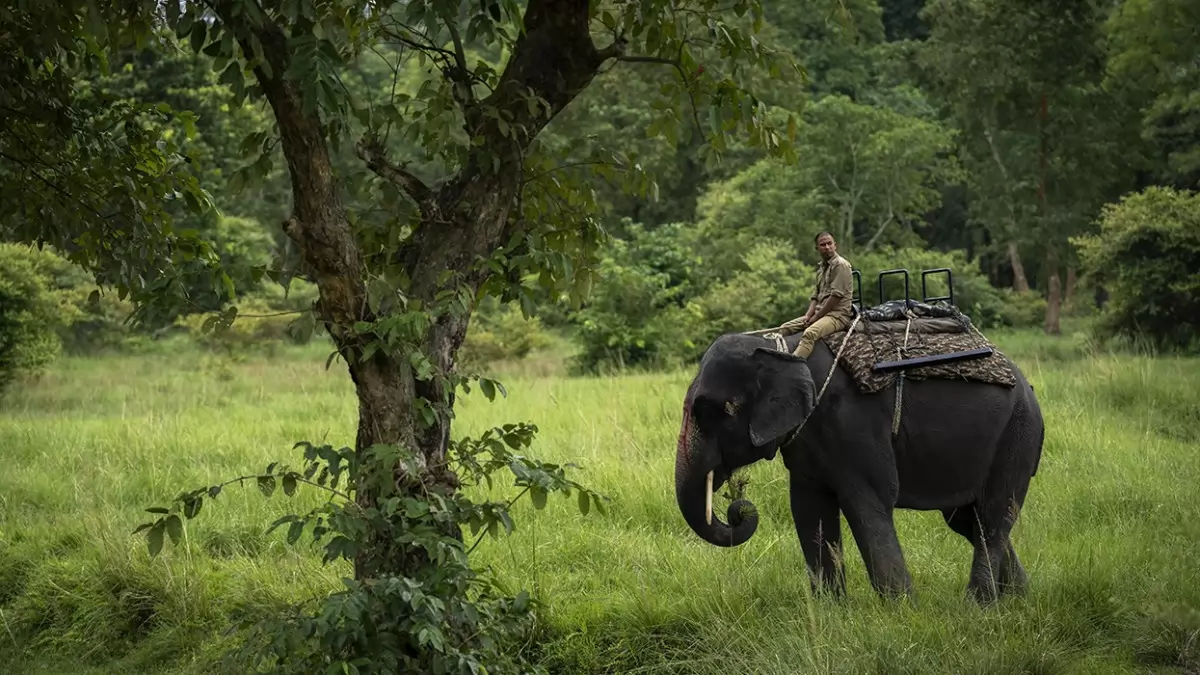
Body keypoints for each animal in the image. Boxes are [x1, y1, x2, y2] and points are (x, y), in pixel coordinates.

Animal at [672, 326, 1046, 598]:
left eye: (715, 412)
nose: (738, 509)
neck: (781, 347)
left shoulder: (853, 422)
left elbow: (866, 502)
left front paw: (900, 610)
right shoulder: (806, 437)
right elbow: (809, 508)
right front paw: (830, 610)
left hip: (1017, 435)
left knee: (993, 516)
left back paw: (977, 606)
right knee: (967, 520)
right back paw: (1019, 598)